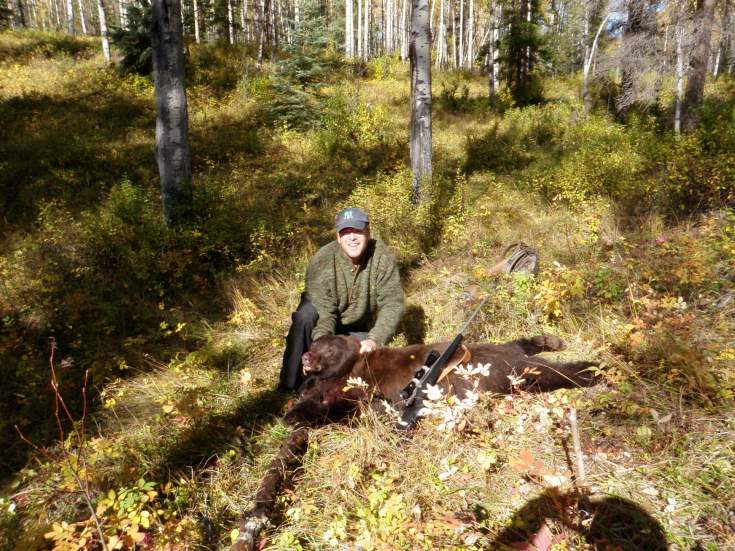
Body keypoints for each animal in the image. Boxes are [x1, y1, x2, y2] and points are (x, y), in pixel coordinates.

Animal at [284, 332, 600, 426]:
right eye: (313, 344)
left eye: (325, 347)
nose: (305, 358)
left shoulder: (359, 391)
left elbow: (337, 410)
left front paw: (292, 415)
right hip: (508, 357)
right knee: (523, 346)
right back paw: (551, 341)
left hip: (510, 371)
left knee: (549, 373)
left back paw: (590, 371)